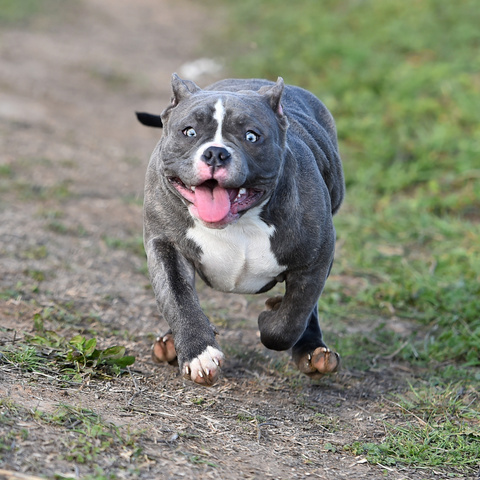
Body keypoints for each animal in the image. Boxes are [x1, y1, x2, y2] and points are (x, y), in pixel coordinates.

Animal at [136, 73, 344, 386]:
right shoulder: (165, 246)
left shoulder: (316, 259)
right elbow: (178, 299)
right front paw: (199, 353)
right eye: (189, 132)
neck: (239, 223)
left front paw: (272, 316)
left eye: (251, 136)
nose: (215, 153)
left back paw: (313, 351)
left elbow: (292, 318)